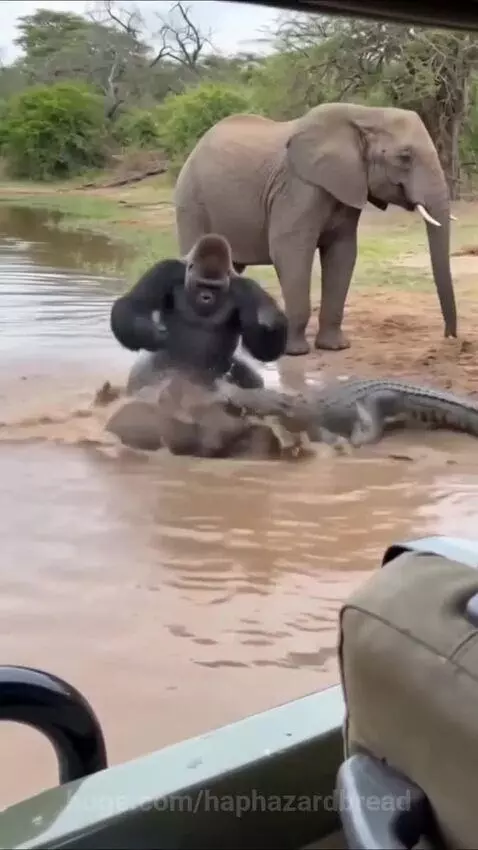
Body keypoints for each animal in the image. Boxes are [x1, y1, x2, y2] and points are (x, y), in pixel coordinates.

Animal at [110, 234, 288, 390]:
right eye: (201, 284)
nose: (206, 297)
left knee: (251, 380)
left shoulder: (248, 290)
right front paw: (149, 332)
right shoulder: (166, 270)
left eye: (215, 287)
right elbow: (133, 304)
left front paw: (273, 323)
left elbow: (261, 348)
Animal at [174, 102, 457, 356]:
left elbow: (342, 253)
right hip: (191, 202)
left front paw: (336, 347)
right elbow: (291, 251)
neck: (366, 113)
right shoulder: (298, 189)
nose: (450, 339)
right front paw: (295, 352)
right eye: (405, 157)